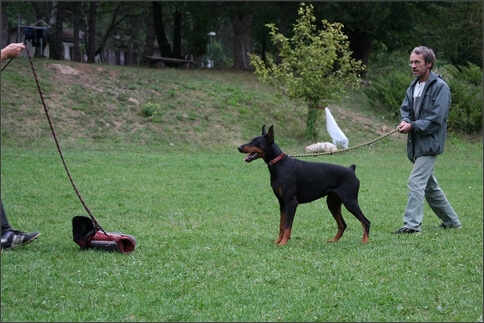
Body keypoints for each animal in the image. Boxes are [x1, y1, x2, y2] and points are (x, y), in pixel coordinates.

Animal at [238, 125, 370, 244]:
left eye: (255, 141)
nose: (239, 147)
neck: (279, 164)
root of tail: (351, 169)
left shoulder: (291, 202)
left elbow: (287, 226)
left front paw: (283, 243)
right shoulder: (282, 203)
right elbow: (282, 225)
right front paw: (278, 241)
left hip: (350, 201)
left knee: (366, 221)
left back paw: (365, 241)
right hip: (333, 203)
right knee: (342, 224)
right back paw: (333, 240)